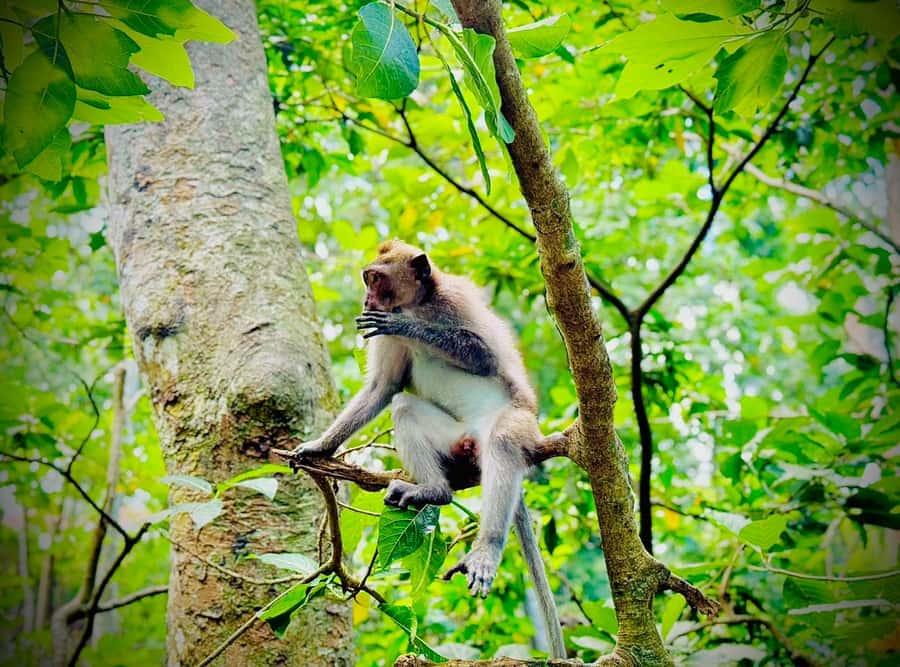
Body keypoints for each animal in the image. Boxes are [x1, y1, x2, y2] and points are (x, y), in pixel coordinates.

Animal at [292, 239, 565, 658]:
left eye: (375, 279)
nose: (367, 297)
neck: (418, 302)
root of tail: (474, 438)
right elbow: (384, 388)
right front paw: (320, 446)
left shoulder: (454, 301)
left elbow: (483, 355)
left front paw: (410, 328)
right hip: (455, 439)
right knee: (404, 407)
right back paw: (434, 490)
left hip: (518, 423)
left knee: (503, 443)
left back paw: (485, 546)